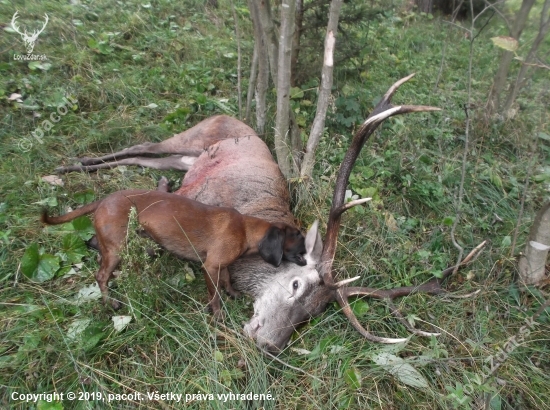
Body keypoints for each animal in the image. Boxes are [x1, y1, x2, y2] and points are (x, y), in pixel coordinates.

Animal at [42, 190, 306, 318]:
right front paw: (217, 314)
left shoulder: (221, 265)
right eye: (298, 239)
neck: (244, 228)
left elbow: (227, 280)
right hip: (117, 250)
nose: (307, 259)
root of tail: (103, 201)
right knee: (101, 276)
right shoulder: (210, 267)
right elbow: (214, 295)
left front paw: (232, 294)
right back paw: (110, 302)